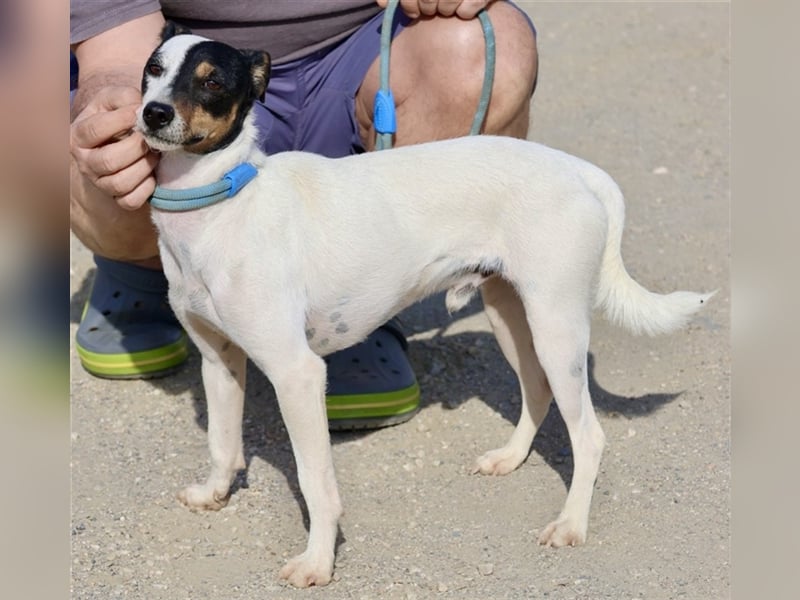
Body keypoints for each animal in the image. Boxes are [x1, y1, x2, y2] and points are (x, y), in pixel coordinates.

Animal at [136, 23, 712, 584]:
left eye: (212, 81)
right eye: (153, 70)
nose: (153, 113)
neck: (222, 201)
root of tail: (578, 169)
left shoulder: (296, 374)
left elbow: (315, 480)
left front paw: (318, 562)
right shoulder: (219, 360)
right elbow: (222, 443)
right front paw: (214, 494)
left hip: (556, 326)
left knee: (589, 435)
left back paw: (570, 524)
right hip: (512, 317)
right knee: (538, 391)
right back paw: (510, 458)